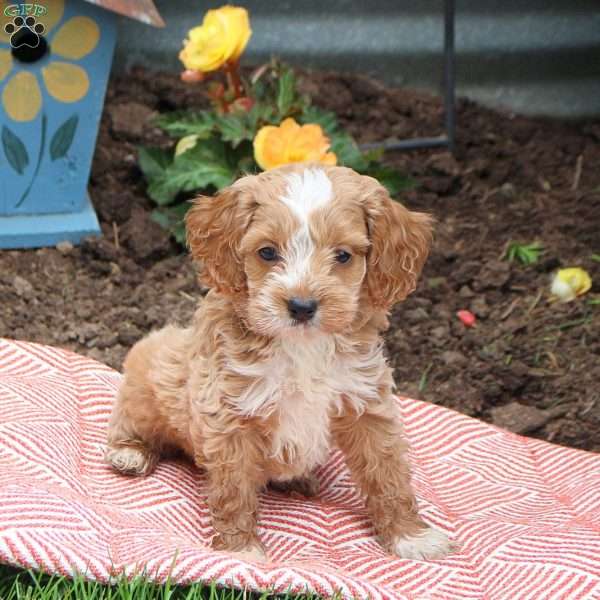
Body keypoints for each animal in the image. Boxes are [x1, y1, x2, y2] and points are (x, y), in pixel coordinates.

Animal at [105, 162, 450, 560]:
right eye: (267, 252)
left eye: (343, 256)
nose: (301, 306)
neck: (302, 347)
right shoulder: (230, 415)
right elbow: (234, 488)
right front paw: (240, 550)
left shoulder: (366, 403)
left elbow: (387, 471)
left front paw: (411, 536)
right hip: (146, 386)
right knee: (131, 423)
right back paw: (129, 454)